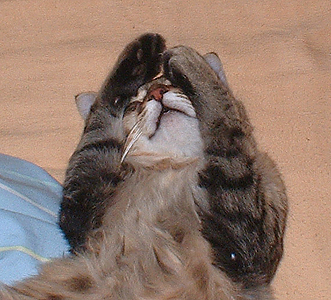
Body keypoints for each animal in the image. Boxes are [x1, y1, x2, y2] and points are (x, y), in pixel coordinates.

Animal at [0, 33, 288, 300]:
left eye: (173, 85)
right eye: (135, 105)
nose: (156, 93)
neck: (176, 168)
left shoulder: (246, 245)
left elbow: (224, 121)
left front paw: (188, 63)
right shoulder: (82, 217)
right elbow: (101, 119)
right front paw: (142, 55)